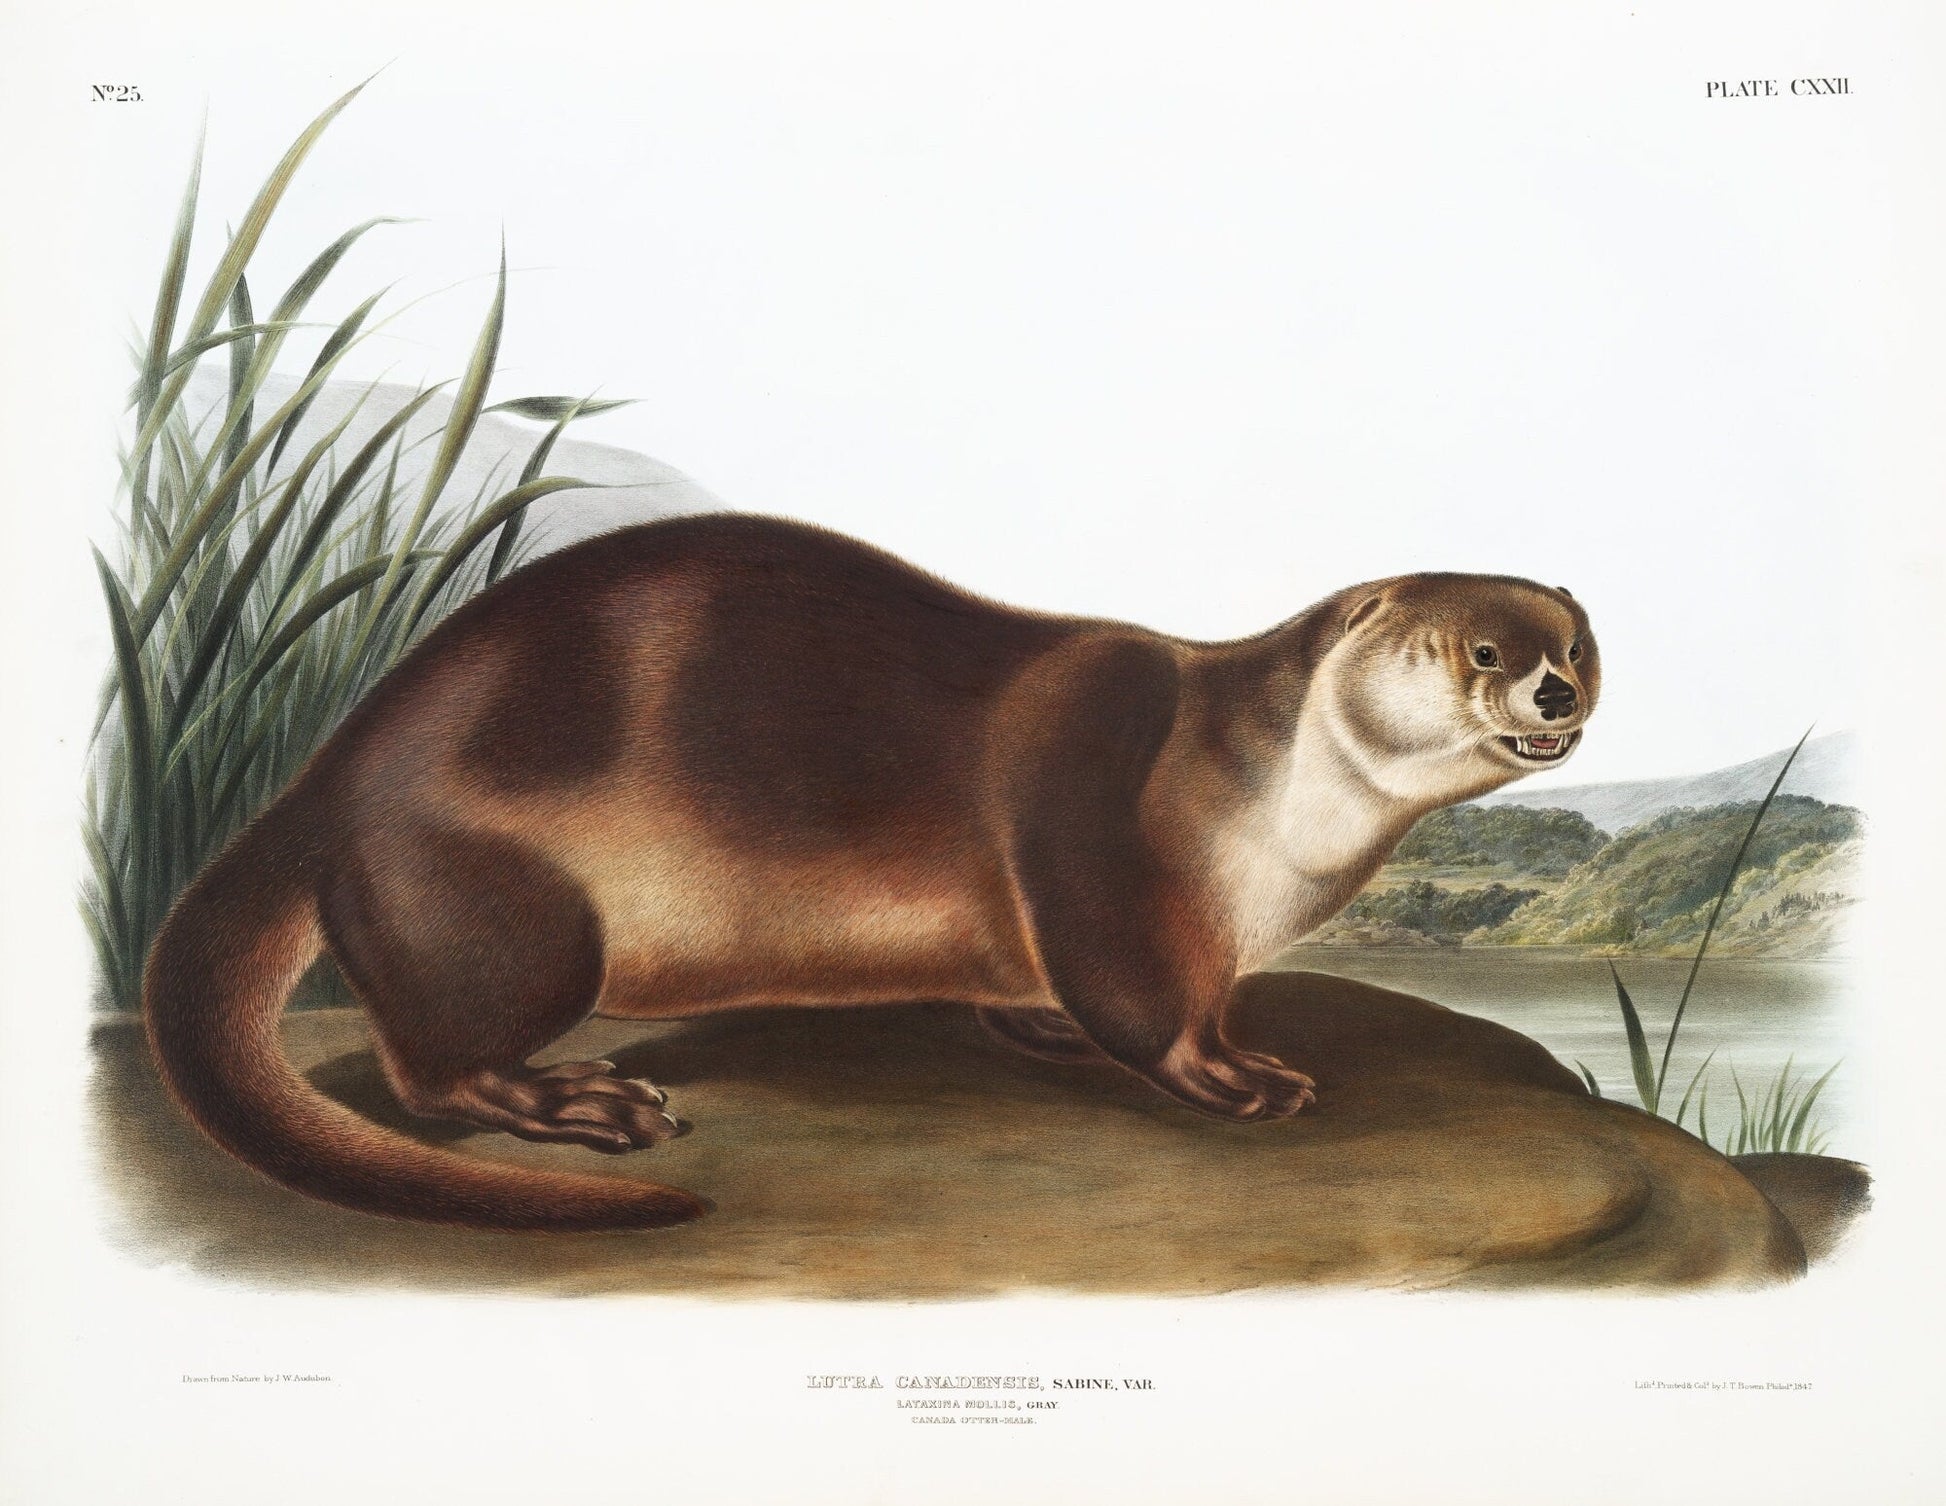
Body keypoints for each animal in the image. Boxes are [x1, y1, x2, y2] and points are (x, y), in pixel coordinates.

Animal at [142, 514, 1599, 1230]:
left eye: (1576, 641)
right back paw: (578, 1099)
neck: (1265, 809)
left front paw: (1043, 1029)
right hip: (503, 898)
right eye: (1477, 647)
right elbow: (1138, 994)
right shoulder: (1098, 818)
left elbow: (1045, 988)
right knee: (431, 1062)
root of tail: (329, 777)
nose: (1553, 688)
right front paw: (1236, 1073)